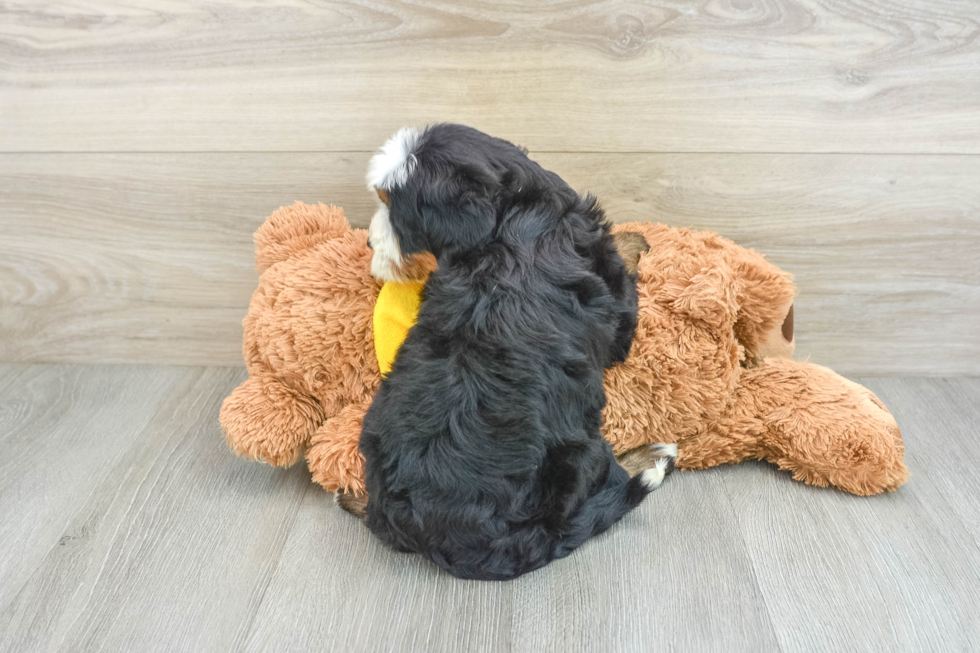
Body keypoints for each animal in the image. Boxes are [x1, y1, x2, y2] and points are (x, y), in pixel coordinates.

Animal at [354, 125, 672, 580]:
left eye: (393, 212)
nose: (366, 242)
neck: (512, 216)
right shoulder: (619, 311)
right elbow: (621, 267)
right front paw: (634, 239)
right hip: (578, 457)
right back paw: (650, 459)